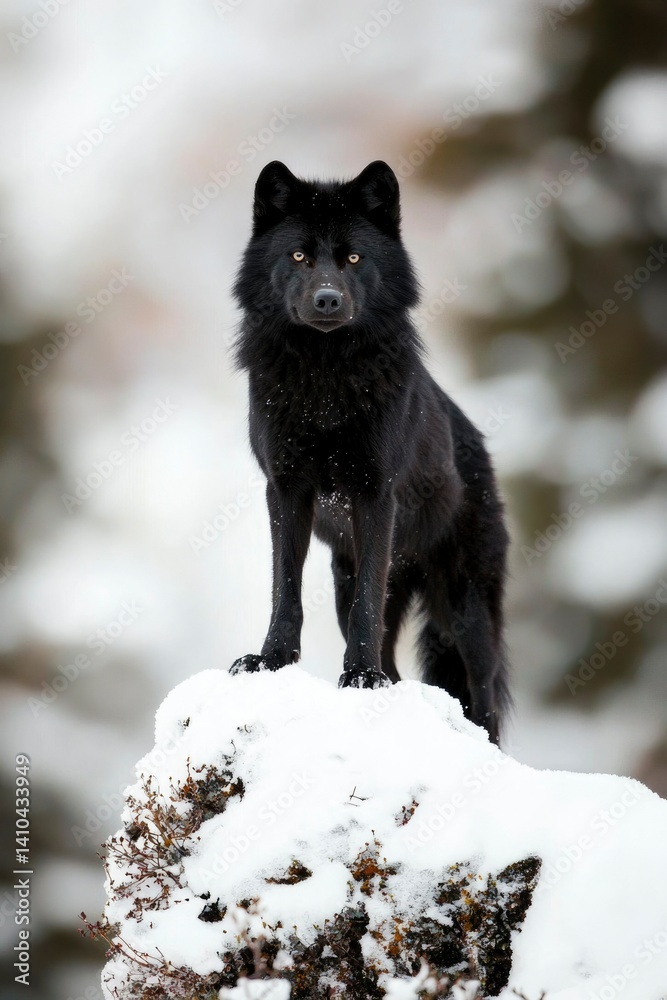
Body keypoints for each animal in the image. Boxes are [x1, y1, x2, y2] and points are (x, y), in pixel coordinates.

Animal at [230, 160, 511, 743]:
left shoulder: (374, 495)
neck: (323, 382)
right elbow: (284, 590)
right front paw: (270, 661)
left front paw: (360, 677)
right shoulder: (285, 491)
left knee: (486, 697)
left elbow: (366, 610)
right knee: (398, 664)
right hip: (350, 580)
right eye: (299, 256)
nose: (327, 299)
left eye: (353, 258)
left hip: (465, 612)